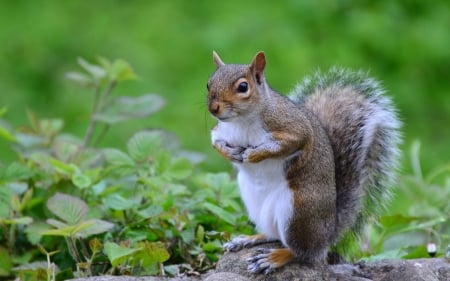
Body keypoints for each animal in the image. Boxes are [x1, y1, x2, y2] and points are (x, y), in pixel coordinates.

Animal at [207, 50, 400, 274]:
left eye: (243, 87)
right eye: (209, 83)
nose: (214, 108)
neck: (241, 121)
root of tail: (328, 234)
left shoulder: (294, 129)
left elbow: (287, 144)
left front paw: (254, 155)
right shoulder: (220, 131)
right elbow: (215, 141)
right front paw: (230, 153)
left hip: (297, 210)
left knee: (303, 252)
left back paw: (275, 257)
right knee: (274, 235)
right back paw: (249, 239)